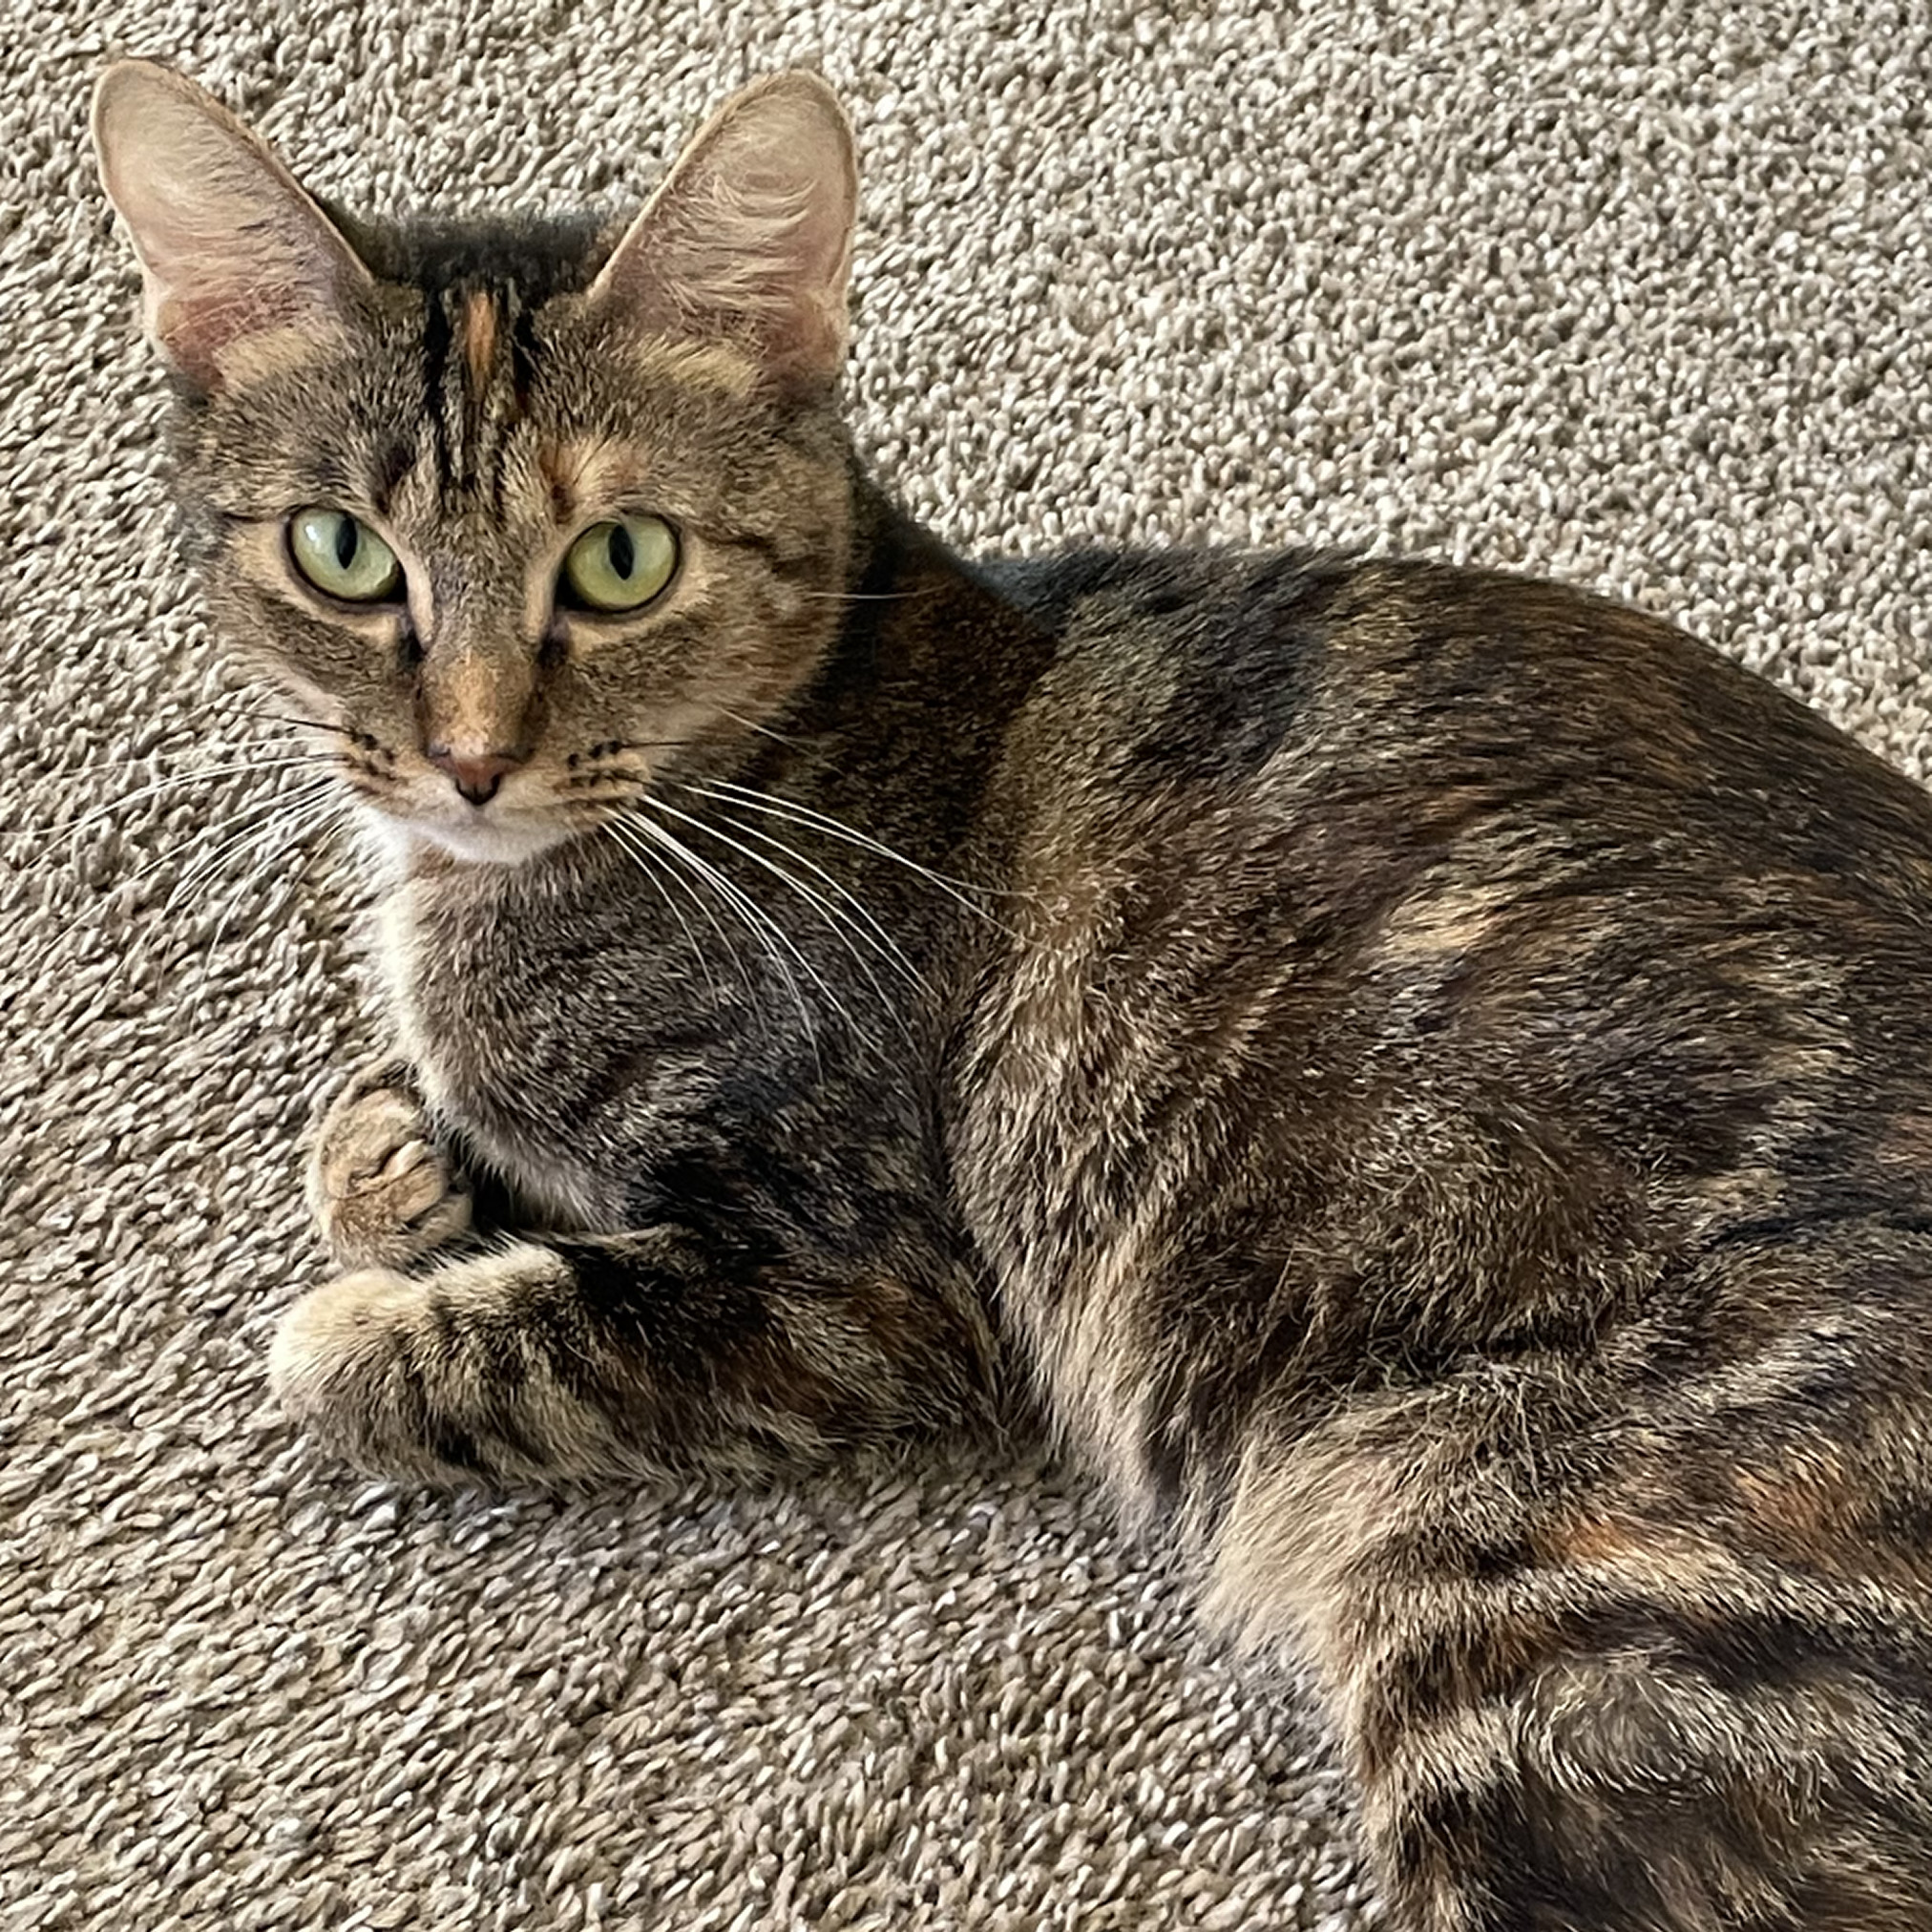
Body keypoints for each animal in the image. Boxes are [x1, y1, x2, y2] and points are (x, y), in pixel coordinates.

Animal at [94, 56, 1932, 1931]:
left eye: (619, 561)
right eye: (340, 550)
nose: (469, 758)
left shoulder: (857, 1276)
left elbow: (442, 1340)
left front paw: (354, 1307)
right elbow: (394, 1132)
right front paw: (398, 1155)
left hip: (1574, 1631)